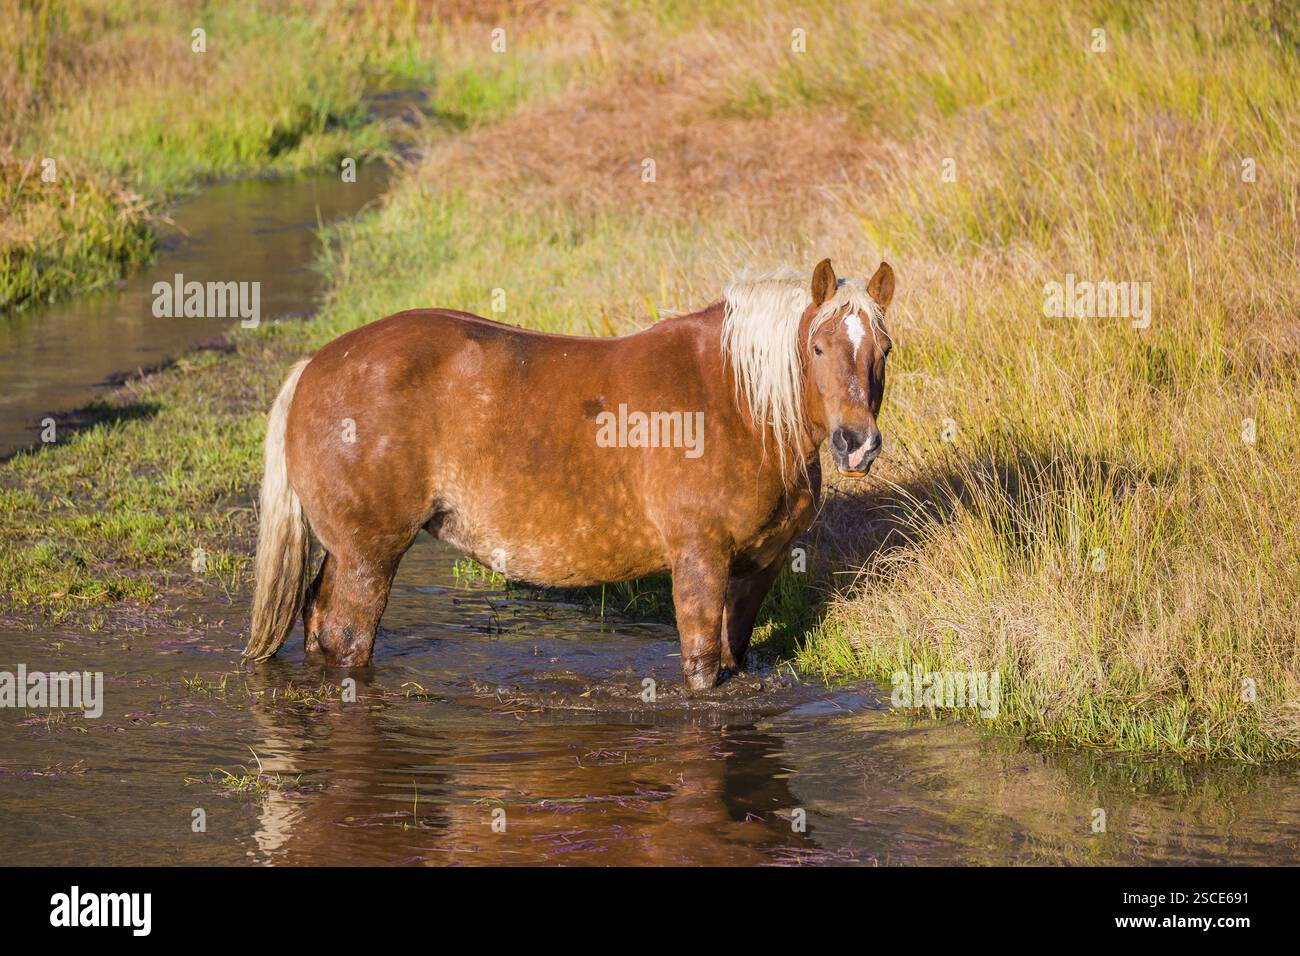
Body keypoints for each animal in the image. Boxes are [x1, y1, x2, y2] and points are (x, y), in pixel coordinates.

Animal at [243, 258, 894, 690]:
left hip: (347, 555)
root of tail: (316, 365)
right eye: (816, 347)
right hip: (368, 557)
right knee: (346, 638)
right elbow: (703, 668)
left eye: (883, 350)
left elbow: (733, 657)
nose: (856, 444)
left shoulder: (759, 566)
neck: (738, 403)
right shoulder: (699, 558)